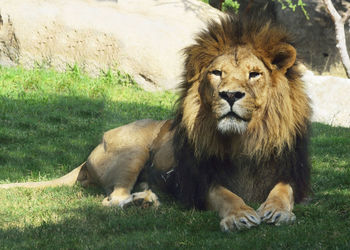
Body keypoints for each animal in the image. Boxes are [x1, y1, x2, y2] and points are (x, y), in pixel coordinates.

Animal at [0, 15, 312, 230]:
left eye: (254, 74)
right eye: (217, 73)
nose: (231, 95)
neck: (244, 139)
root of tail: (90, 154)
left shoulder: (291, 172)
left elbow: (283, 191)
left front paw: (277, 210)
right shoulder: (196, 182)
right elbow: (225, 195)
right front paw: (239, 215)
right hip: (133, 149)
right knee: (112, 199)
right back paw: (142, 201)